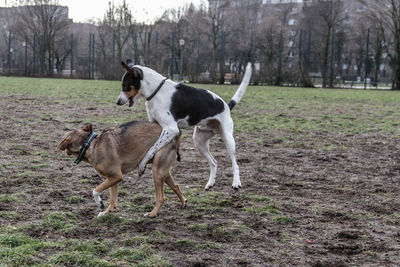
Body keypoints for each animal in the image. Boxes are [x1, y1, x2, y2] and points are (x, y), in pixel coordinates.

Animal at [57, 121, 187, 218]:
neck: (89, 145)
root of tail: (177, 134)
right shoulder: (113, 179)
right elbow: (113, 199)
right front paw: (107, 212)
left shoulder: (117, 176)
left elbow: (95, 190)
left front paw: (100, 204)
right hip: (162, 170)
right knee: (176, 186)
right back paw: (184, 203)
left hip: (157, 171)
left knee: (161, 198)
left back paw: (152, 214)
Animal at [117, 60, 252, 191]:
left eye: (125, 86)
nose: (117, 102)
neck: (156, 91)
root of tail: (226, 105)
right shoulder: (156, 125)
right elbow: (151, 146)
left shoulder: (171, 129)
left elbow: (152, 148)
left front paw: (142, 164)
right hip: (199, 142)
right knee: (214, 163)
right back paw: (210, 183)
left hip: (228, 139)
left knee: (235, 164)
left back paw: (236, 183)